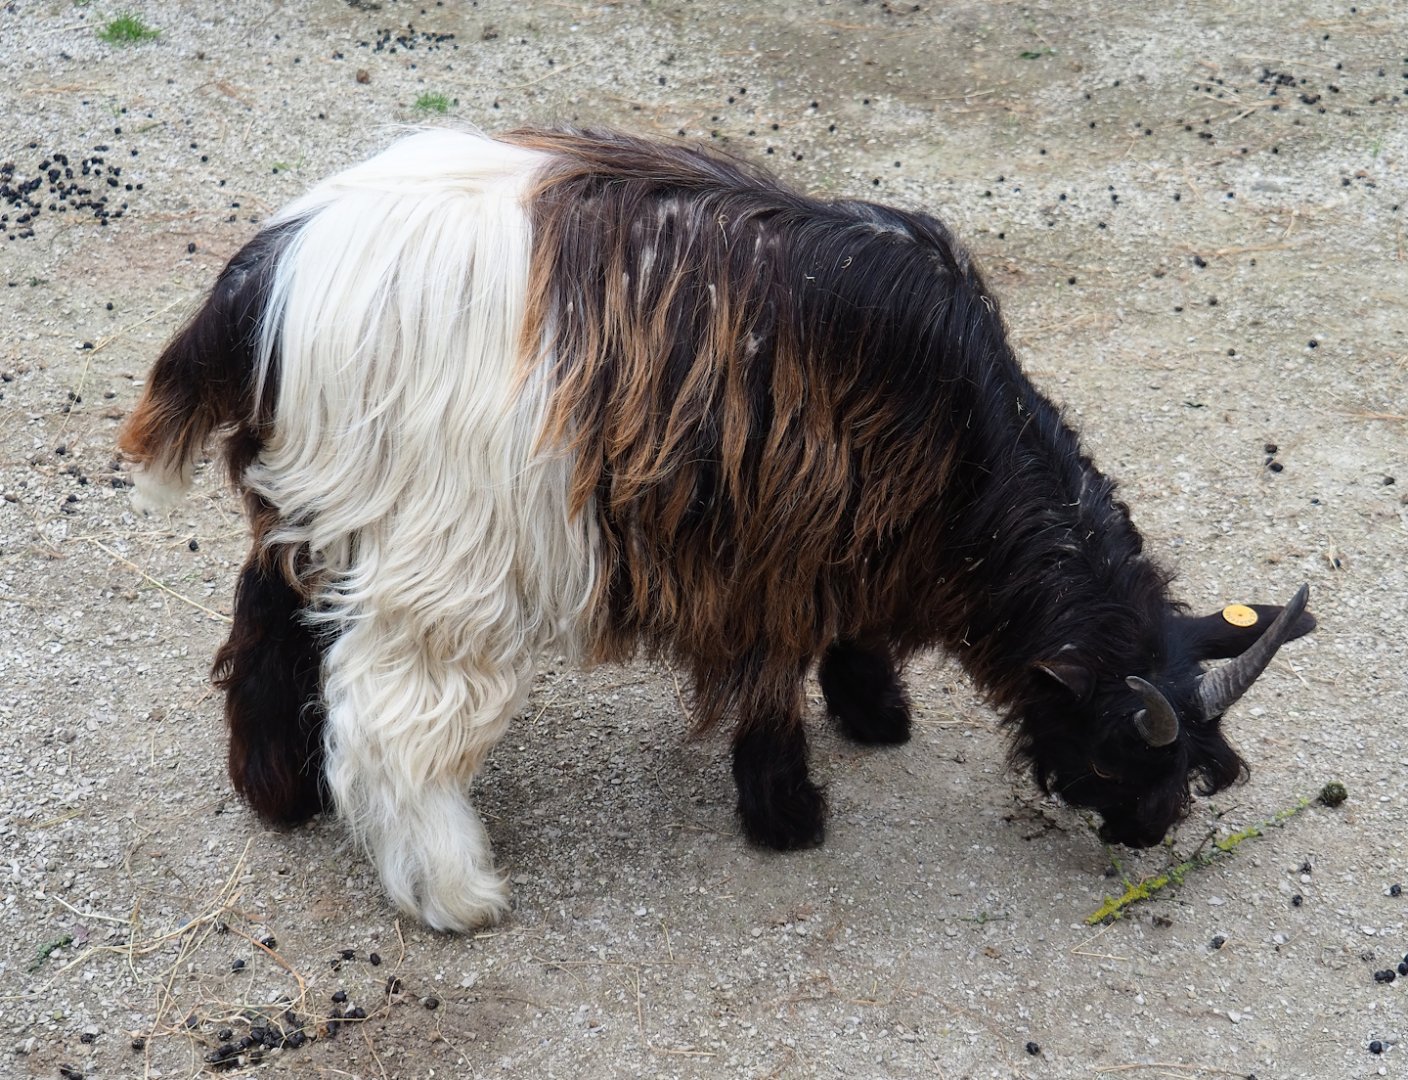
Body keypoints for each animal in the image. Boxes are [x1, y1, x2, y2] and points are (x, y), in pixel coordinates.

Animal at [119, 127, 1316, 931]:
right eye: (1124, 746)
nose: (1149, 833)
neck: (958, 429)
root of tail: (265, 282)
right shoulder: (778, 546)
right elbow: (772, 678)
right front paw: (790, 813)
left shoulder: (848, 529)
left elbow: (847, 635)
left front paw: (875, 712)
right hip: (443, 551)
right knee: (388, 714)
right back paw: (454, 893)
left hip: (316, 496)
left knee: (263, 621)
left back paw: (279, 796)